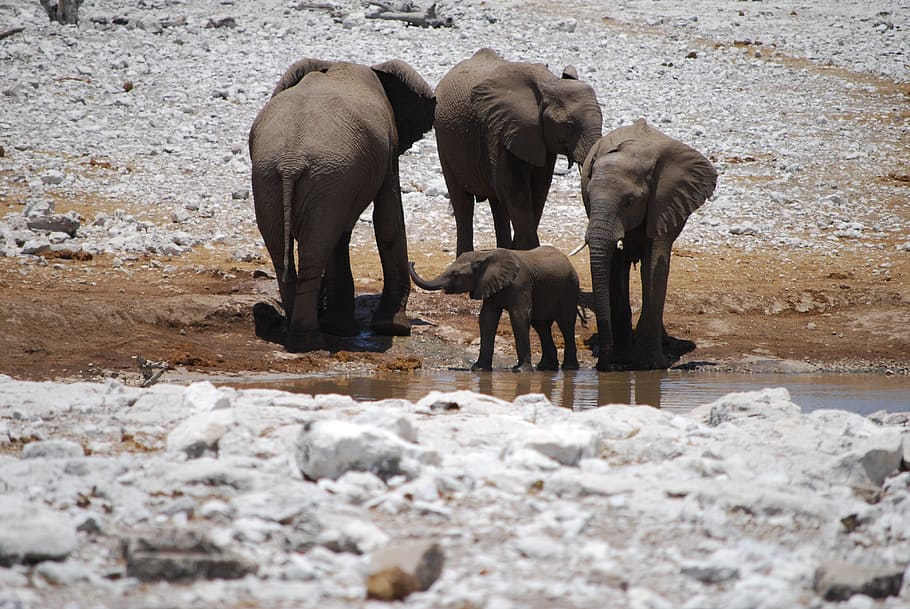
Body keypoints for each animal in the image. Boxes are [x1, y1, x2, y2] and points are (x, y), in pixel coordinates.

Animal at [248, 58, 436, 352]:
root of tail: (291, 160)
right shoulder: (387, 146)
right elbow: (389, 219)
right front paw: (393, 328)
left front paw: (341, 327)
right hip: (314, 174)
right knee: (315, 248)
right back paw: (309, 340)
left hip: (278, 177)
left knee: (288, 251)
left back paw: (298, 334)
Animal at [410, 246, 580, 370]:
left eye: (455, 275)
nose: (412, 262)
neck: (484, 255)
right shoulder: (488, 284)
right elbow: (487, 318)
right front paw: (478, 369)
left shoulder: (521, 284)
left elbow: (519, 317)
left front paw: (520, 371)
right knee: (541, 326)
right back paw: (546, 368)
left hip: (570, 288)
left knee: (566, 324)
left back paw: (569, 368)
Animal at [436, 48, 604, 255]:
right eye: (569, 125)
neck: (548, 83)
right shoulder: (501, 129)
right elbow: (515, 190)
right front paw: (529, 252)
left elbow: (539, 190)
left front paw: (522, 253)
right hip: (444, 142)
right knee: (463, 203)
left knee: (497, 204)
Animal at [584, 116, 720, 368]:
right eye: (588, 197)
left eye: (630, 201)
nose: (602, 366)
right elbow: (615, 264)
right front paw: (623, 360)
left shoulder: (664, 201)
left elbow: (655, 262)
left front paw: (650, 365)